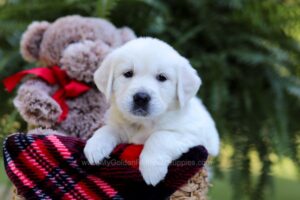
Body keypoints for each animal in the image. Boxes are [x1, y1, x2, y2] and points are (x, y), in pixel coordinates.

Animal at [84, 37, 220, 186]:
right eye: (128, 73)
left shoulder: (191, 134)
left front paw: (152, 169)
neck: (143, 122)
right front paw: (94, 146)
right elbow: (107, 129)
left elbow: (159, 136)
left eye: (162, 77)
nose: (141, 98)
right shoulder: (119, 125)